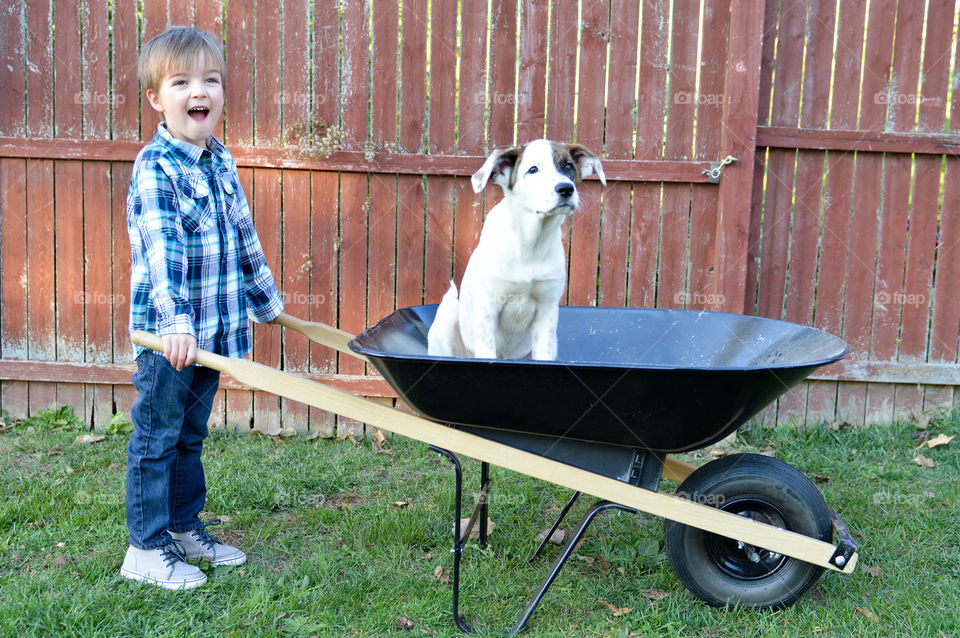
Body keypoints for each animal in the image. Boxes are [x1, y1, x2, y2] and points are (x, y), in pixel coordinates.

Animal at [430, 139, 604, 360]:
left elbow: (544, 354)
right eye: (533, 169)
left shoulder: (547, 309)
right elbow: (487, 353)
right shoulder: (488, 306)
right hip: (447, 317)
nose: (566, 189)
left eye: (568, 166)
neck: (530, 244)